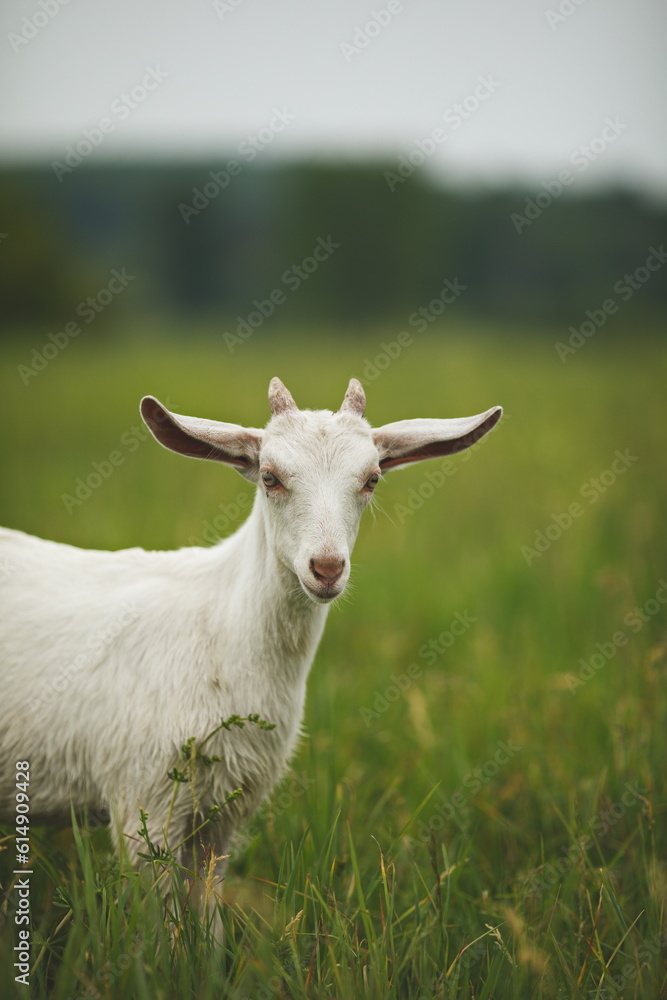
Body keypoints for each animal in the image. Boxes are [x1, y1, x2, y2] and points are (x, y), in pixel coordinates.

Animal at [0, 376, 500, 892]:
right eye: (269, 477)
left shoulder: (225, 813)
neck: (220, 629)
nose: (326, 568)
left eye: (372, 479)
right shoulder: (141, 796)